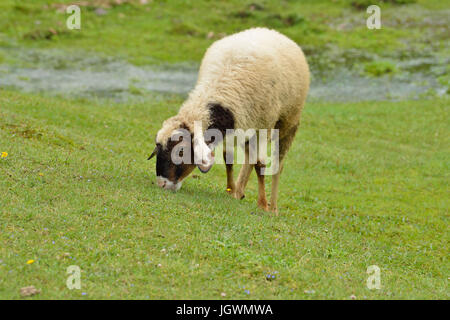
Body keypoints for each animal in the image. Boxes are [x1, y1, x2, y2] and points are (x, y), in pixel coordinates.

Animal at [148, 26, 310, 212]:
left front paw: (262, 204)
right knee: (249, 158)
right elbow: (229, 158)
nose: (162, 184)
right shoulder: (235, 127)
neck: (221, 88)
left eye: (181, 151)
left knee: (277, 165)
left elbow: (260, 165)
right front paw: (231, 190)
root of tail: (269, 30)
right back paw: (239, 191)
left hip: (288, 123)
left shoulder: (263, 128)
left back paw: (273, 207)